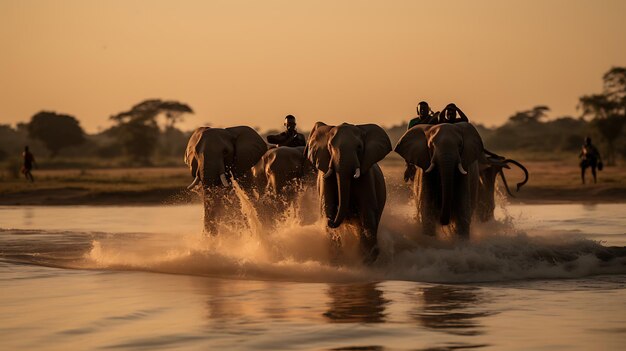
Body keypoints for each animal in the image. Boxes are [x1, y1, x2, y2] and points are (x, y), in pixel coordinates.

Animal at [304, 122, 390, 262]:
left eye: (359, 147)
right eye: (329, 146)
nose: (331, 221)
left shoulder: (366, 177)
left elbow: (367, 210)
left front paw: (368, 258)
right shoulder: (325, 177)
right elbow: (327, 206)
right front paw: (336, 259)